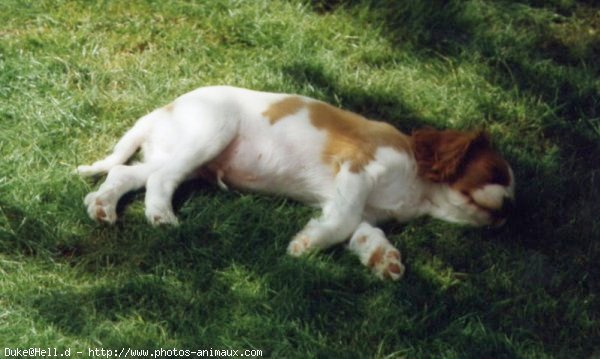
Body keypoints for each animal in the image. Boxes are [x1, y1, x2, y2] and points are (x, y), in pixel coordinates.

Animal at [76, 86, 516, 282]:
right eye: (496, 174)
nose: (511, 211)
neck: (419, 188)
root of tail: (162, 110)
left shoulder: (356, 205)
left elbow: (360, 231)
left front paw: (383, 259)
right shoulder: (358, 167)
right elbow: (341, 225)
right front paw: (303, 246)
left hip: (177, 154)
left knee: (126, 174)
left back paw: (102, 206)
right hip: (211, 130)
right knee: (160, 179)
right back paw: (161, 216)